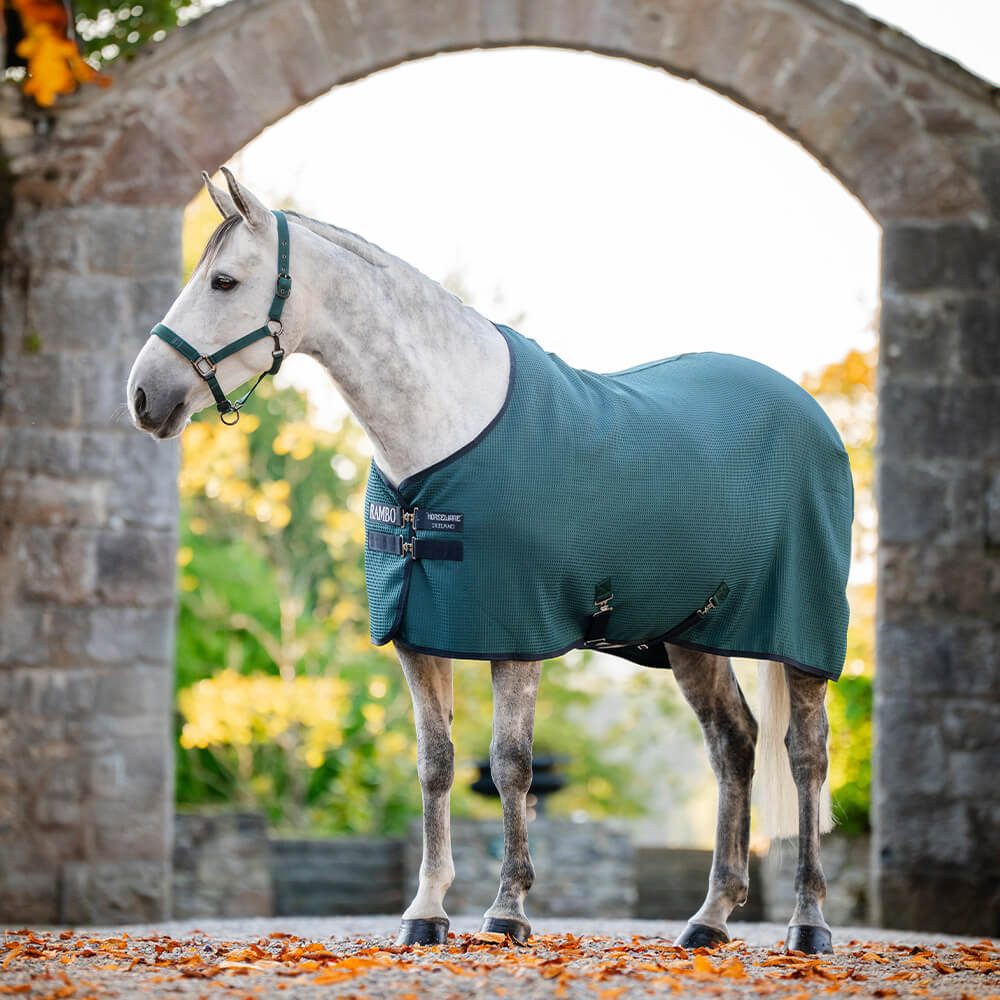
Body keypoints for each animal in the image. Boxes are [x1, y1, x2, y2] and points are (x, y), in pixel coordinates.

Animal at [127, 169, 850, 955]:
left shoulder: (517, 634)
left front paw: (508, 910)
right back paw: (709, 918)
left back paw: (809, 922)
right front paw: (426, 911)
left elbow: (511, 766)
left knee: (806, 756)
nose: (144, 396)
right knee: (734, 746)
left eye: (224, 281)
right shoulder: (417, 636)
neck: (446, 433)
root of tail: (808, 409)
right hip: (695, 637)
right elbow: (436, 765)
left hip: (802, 638)